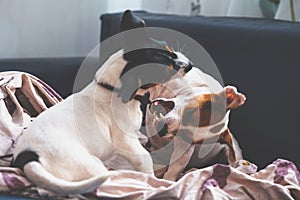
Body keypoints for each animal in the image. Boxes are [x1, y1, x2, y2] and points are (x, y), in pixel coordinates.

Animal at [10, 10, 192, 195]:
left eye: (170, 50)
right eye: (166, 69)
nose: (190, 65)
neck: (112, 90)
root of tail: (29, 159)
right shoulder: (128, 141)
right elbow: (145, 161)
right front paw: (156, 180)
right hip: (91, 164)